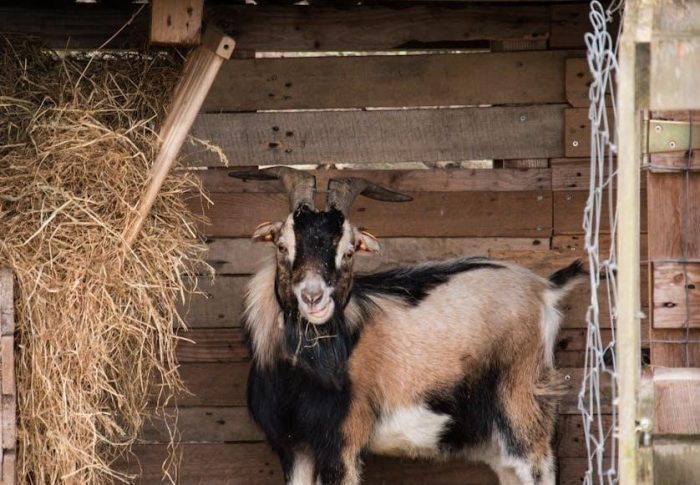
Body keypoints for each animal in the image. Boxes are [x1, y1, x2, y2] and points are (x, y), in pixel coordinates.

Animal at [232, 167, 585, 485]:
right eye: (281, 245)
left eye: (349, 251)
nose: (313, 297)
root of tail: (545, 288)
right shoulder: (293, 447)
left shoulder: (343, 441)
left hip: (523, 407)